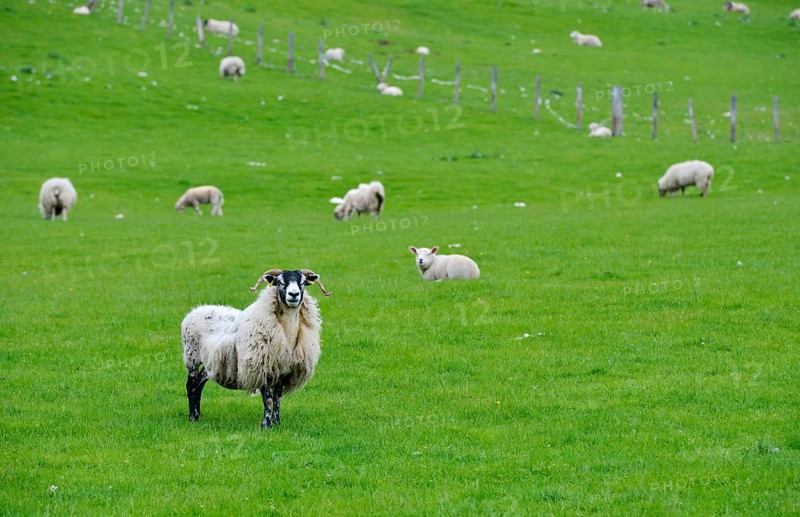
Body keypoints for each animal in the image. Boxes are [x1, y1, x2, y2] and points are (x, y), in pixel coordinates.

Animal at [182, 269, 331, 428]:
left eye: (302, 283)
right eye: (280, 282)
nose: (294, 295)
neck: (286, 334)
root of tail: (196, 310)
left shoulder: (283, 370)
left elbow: (277, 398)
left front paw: (277, 422)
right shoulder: (262, 367)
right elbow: (268, 399)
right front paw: (266, 424)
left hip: (211, 362)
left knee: (199, 383)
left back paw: (197, 415)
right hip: (192, 357)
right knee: (191, 385)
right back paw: (192, 417)